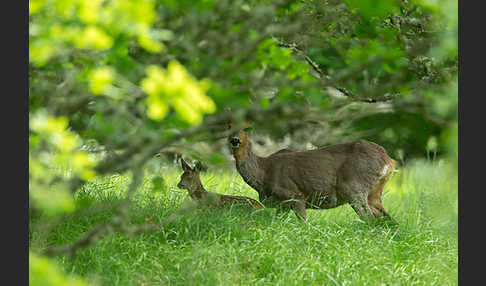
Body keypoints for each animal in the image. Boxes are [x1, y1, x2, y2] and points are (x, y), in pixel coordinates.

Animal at [227, 123, 394, 223]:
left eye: (246, 129)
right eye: (228, 127)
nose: (235, 140)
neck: (263, 174)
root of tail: (388, 160)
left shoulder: (295, 195)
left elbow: (304, 224)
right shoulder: (281, 204)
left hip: (354, 187)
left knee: (370, 219)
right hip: (374, 193)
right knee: (388, 220)